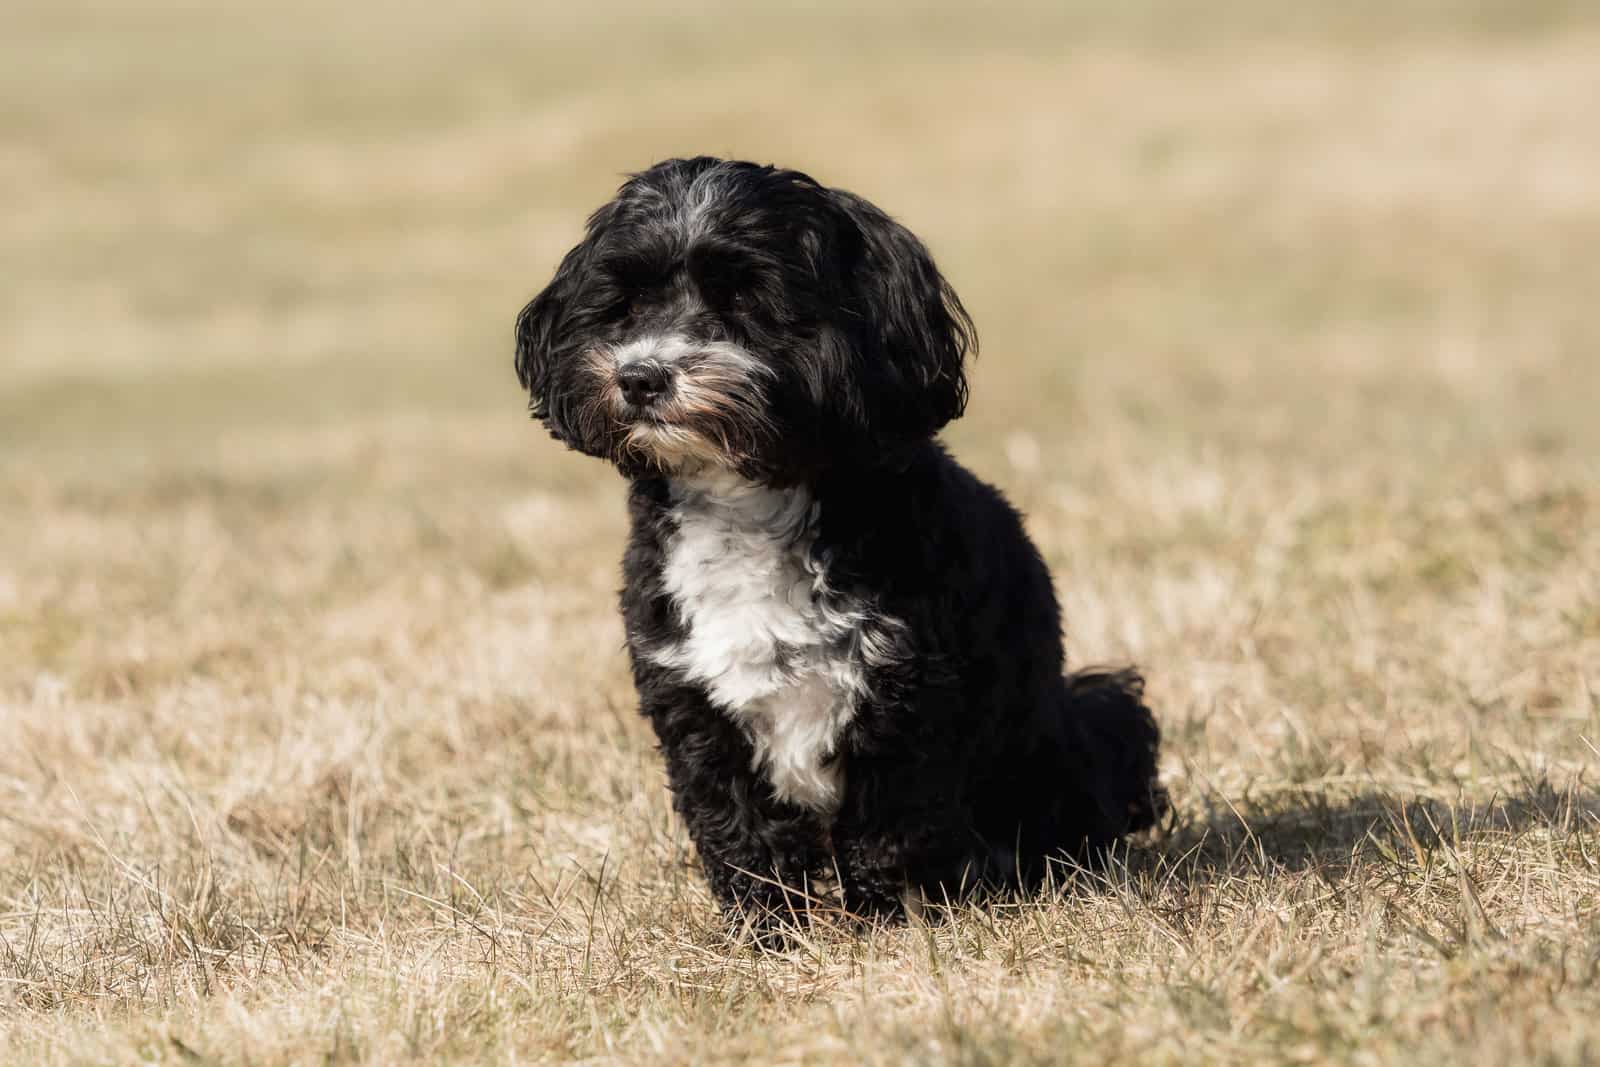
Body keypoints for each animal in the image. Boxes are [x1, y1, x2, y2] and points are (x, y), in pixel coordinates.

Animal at [518, 154, 1171, 940]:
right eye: (627, 303)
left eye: (746, 299)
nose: (640, 376)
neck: (749, 503)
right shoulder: (694, 705)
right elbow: (740, 829)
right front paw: (767, 933)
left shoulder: (905, 703)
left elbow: (886, 828)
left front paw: (890, 924)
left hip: (1068, 741)